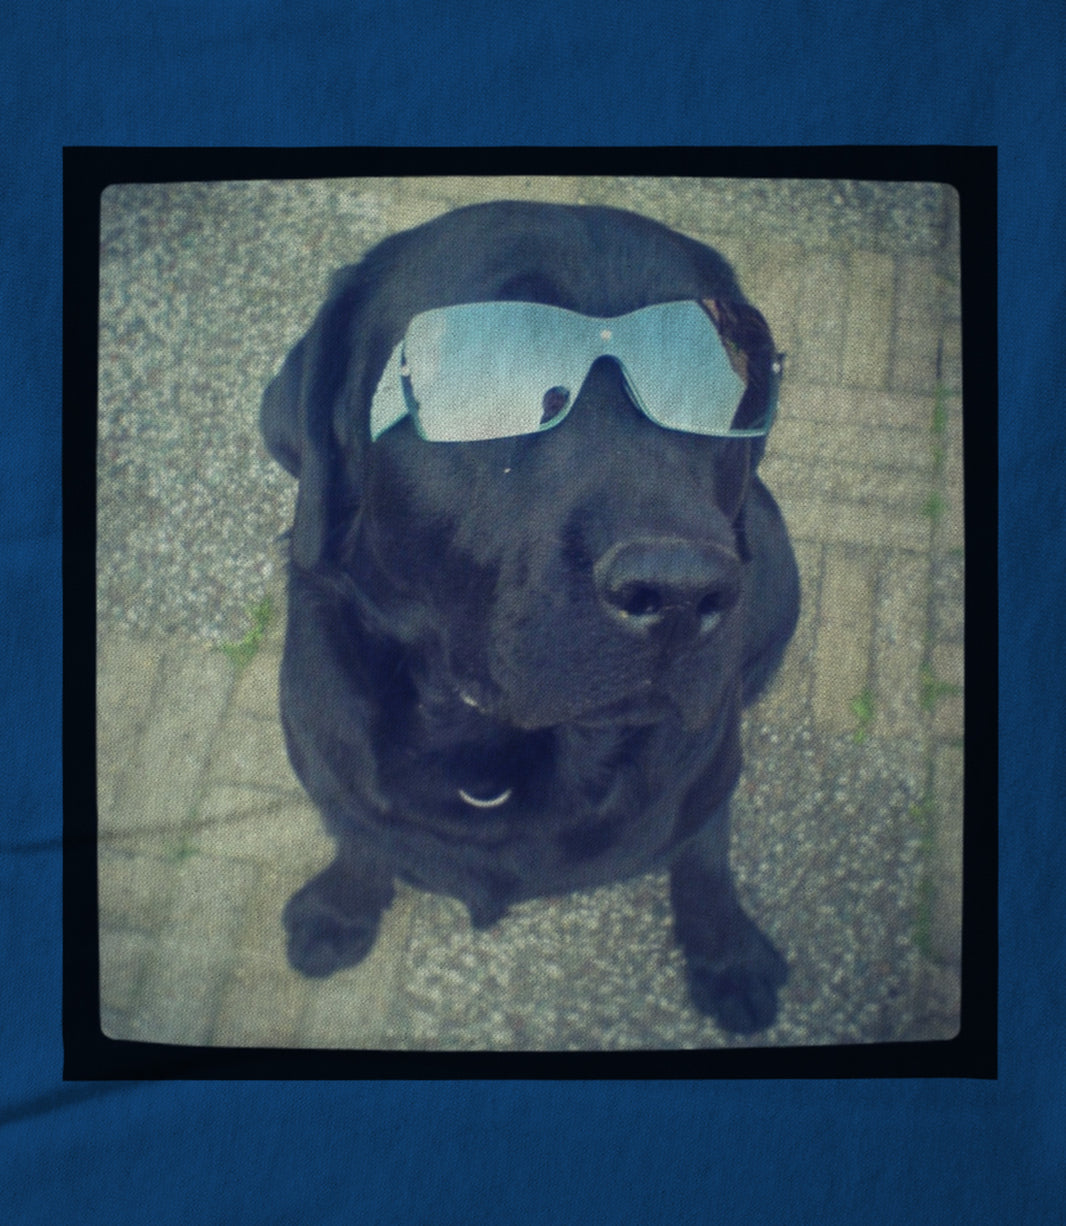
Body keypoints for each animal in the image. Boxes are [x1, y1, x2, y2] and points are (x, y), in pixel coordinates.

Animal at [260, 201, 800, 1034]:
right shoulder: (337, 779)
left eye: (715, 386)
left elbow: (704, 861)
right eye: (485, 376)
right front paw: (339, 912)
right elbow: (362, 843)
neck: (495, 755)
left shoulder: (709, 782)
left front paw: (727, 955)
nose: (680, 590)